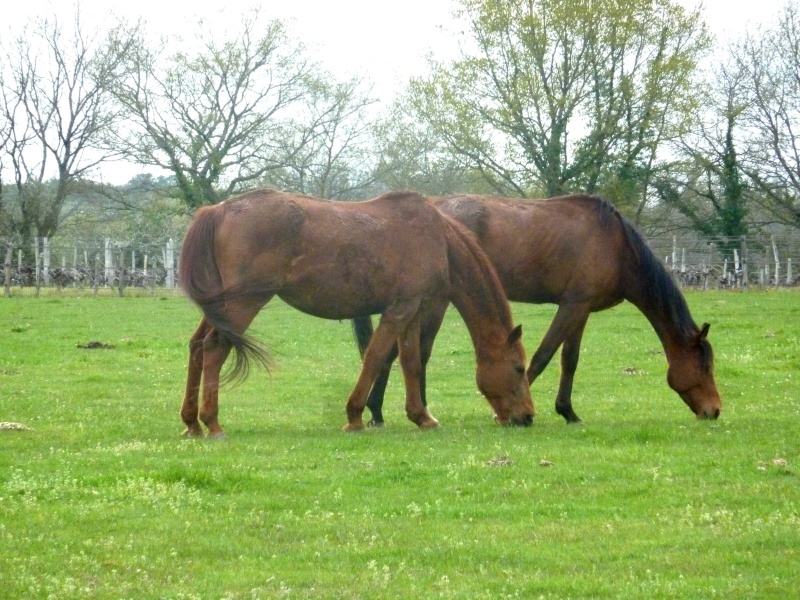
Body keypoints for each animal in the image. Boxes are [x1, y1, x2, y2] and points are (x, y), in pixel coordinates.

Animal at [178, 188, 536, 436]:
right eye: (519, 368)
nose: (528, 417)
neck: (439, 240)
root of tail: (218, 210)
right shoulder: (399, 310)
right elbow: (376, 357)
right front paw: (355, 416)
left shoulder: (413, 310)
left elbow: (410, 362)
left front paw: (420, 416)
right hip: (242, 306)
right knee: (214, 349)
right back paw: (212, 424)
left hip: (220, 309)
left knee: (197, 347)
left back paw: (191, 422)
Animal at [360, 195, 720, 424]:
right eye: (704, 366)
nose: (714, 410)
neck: (617, 245)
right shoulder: (572, 306)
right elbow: (543, 355)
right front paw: (510, 409)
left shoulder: (581, 308)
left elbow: (569, 360)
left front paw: (568, 411)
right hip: (436, 302)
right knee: (412, 351)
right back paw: (391, 410)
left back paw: (381, 411)